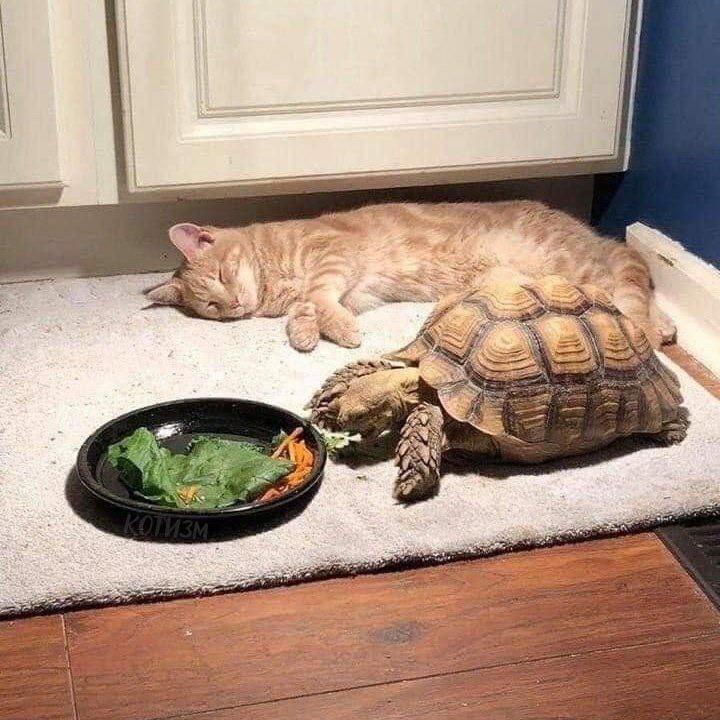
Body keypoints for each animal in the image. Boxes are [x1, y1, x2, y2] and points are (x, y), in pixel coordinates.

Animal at [147, 201, 675, 352]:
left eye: (221, 274)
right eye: (211, 308)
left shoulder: (333, 257)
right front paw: (305, 332)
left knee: (627, 286)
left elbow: (319, 296)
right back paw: (666, 324)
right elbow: (308, 309)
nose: (234, 307)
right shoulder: (350, 291)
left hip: (568, 266)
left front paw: (337, 330)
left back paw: (652, 329)